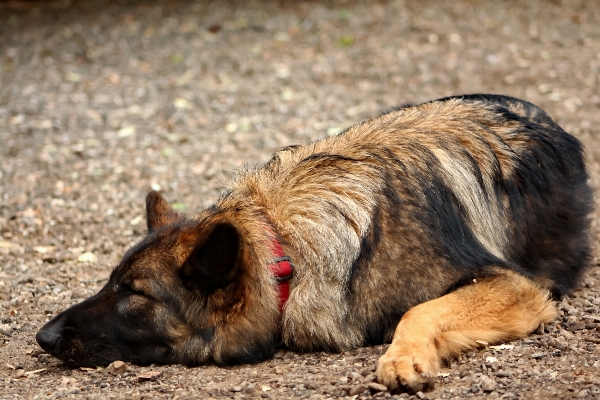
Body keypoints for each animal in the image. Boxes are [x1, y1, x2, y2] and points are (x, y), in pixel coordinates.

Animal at [36, 95, 592, 392]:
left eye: (135, 295)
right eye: (110, 283)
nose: (42, 336)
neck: (286, 250)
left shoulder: (516, 287)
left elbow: (422, 309)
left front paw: (403, 357)